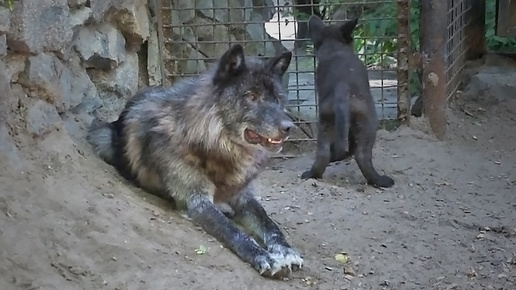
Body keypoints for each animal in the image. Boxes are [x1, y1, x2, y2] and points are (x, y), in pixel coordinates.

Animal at [85, 44, 302, 278]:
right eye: (251, 96)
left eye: (277, 99)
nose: (289, 127)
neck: (218, 145)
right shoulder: (197, 201)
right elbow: (234, 232)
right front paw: (265, 257)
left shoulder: (244, 196)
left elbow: (269, 224)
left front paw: (287, 251)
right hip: (101, 137)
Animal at [298, 15, 396, 188]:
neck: (335, 49)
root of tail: (341, 88)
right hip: (369, 123)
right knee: (360, 154)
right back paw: (380, 180)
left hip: (328, 122)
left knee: (325, 153)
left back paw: (312, 174)